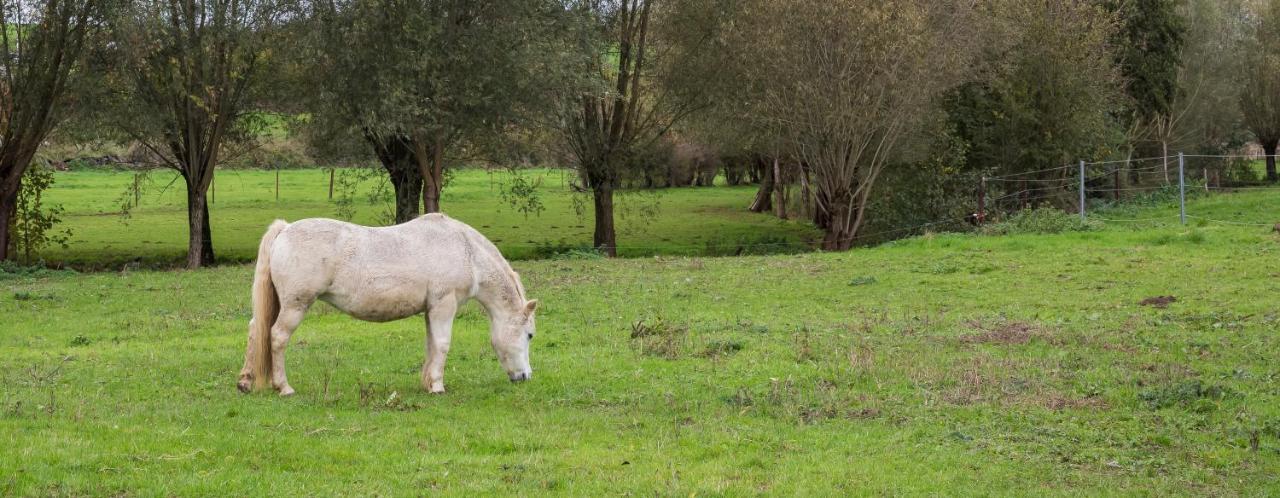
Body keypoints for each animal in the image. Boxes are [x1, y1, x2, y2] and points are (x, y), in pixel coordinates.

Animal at [238, 213, 537, 396]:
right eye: (530, 335)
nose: (525, 376)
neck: (467, 252)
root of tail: (285, 229)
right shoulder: (444, 305)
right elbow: (442, 345)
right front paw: (438, 386)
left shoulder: (431, 310)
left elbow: (431, 345)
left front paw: (428, 383)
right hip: (295, 306)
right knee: (277, 337)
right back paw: (284, 387)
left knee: (256, 329)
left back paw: (245, 382)